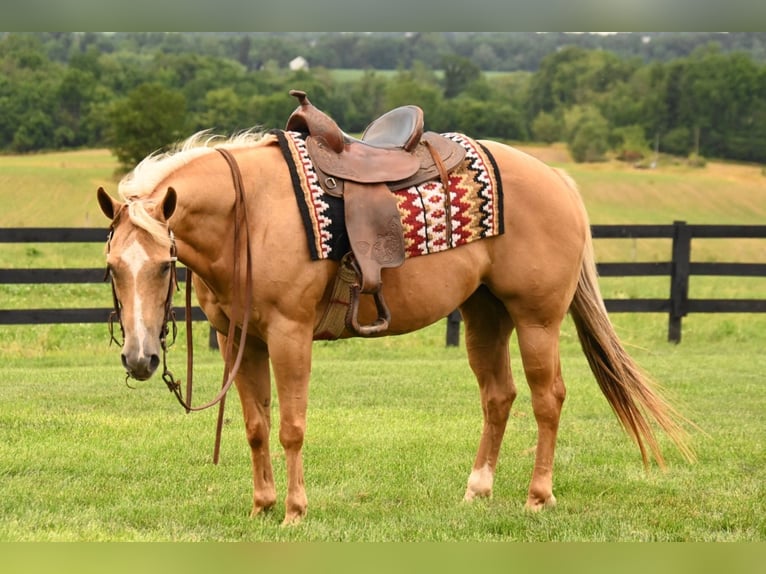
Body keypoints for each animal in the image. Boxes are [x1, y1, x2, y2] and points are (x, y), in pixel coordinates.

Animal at [96, 125, 694, 525]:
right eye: (112, 266)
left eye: (164, 265)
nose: (139, 358)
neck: (250, 215)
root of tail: (557, 181)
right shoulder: (238, 339)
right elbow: (256, 426)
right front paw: (261, 506)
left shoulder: (290, 335)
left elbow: (291, 427)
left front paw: (294, 511)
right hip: (485, 314)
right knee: (498, 397)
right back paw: (478, 490)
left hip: (537, 318)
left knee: (549, 399)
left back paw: (538, 496)